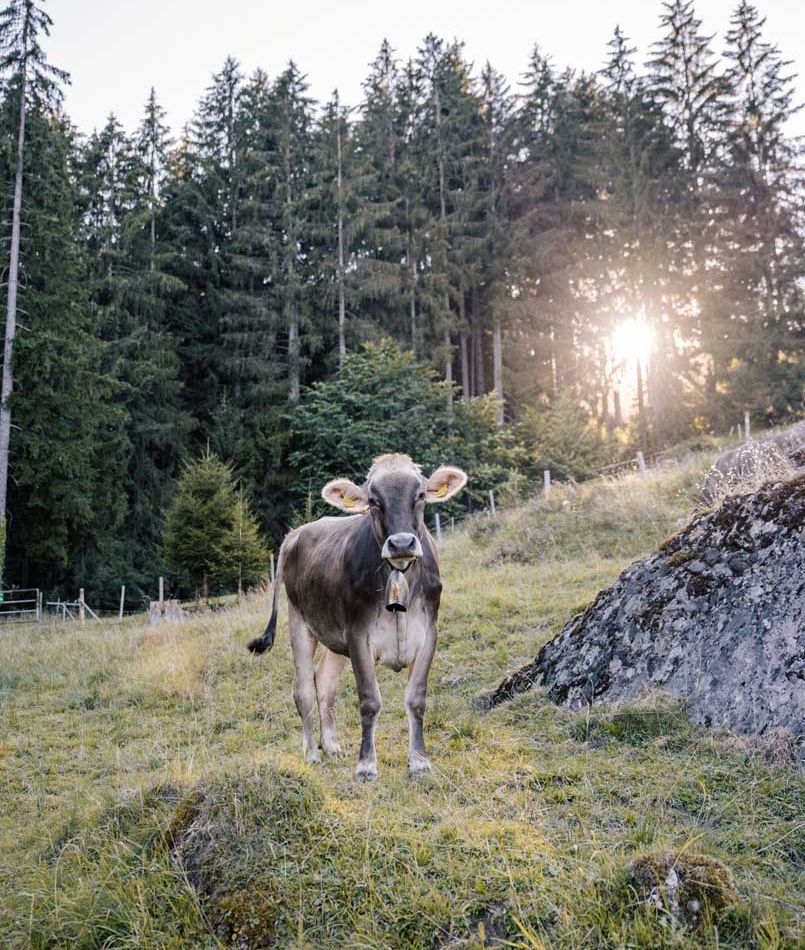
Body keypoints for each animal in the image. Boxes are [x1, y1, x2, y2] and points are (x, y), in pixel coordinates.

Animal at [247, 454, 467, 780]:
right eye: (373, 501)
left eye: (420, 495)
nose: (401, 543)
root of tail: (294, 534)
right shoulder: (358, 636)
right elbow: (369, 701)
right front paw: (366, 765)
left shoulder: (428, 633)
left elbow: (416, 699)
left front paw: (419, 760)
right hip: (299, 621)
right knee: (303, 690)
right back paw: (312, 752)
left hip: (335, 638)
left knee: (325, 683)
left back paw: (331, 745)